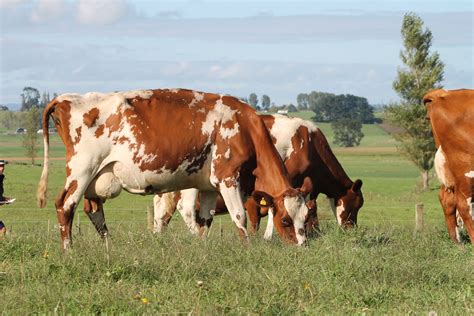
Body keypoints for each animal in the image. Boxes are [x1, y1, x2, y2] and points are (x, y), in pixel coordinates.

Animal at [36, 87, 312, 249]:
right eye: (285, 220)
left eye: (306, 217)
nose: (301, 246)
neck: (244, 127)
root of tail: (66, 98)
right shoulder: (227, 177)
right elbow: (239, 216)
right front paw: (246, 248)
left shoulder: (208, 185)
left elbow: (205, 220)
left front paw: (202, 247)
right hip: (82, 169)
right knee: (65, 205)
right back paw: (69, 249)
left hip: (98, 176)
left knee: (93, 210)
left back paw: (108, 246)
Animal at [154, 113, 364, 237]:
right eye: (355, 205)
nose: (351, 230)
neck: (308, 142)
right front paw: (268, 237)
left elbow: (310, 209)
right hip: (191, 184)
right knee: (186, 209)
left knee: (162, 212)